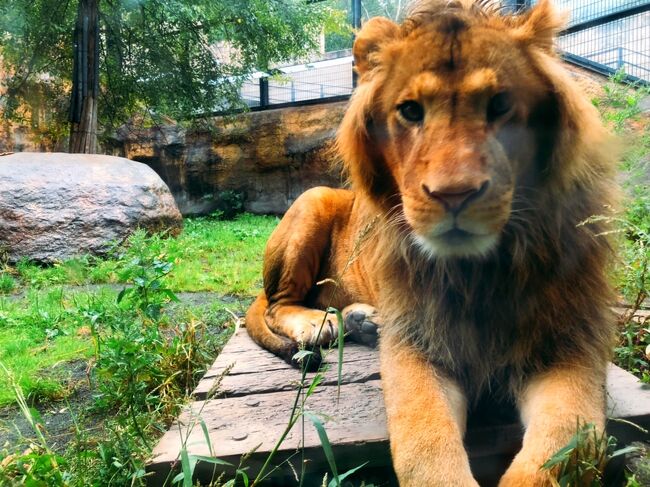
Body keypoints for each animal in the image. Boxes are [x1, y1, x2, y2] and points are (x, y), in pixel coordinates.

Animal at [244, 1, 616, 486]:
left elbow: (563, 445)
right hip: (312, 198)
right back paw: (316, 324)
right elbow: (424, 443)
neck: (480, 272)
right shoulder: (417, 344)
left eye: (500, 105)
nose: (453, 194)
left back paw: (362, 320)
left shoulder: (571, 344)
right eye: (410, 111)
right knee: (277, 303)